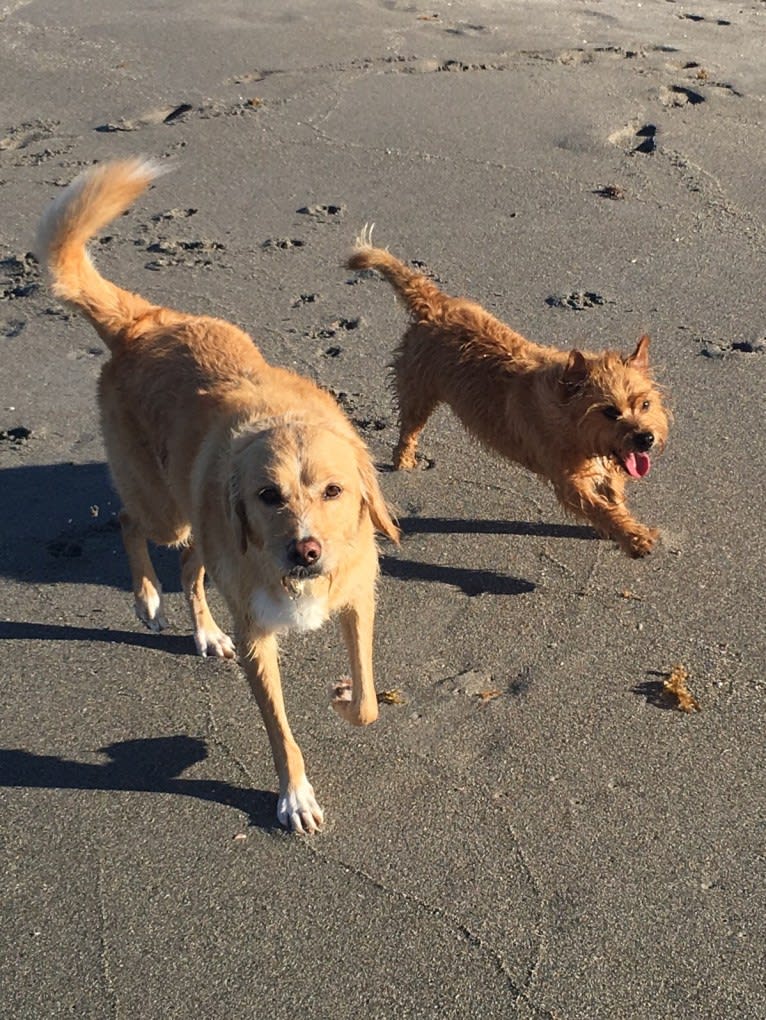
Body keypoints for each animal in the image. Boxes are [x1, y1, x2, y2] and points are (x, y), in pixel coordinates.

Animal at [36, 157, 397, 828]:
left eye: (334, 491)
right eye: (268, 495)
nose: (306, 551)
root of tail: (142, 324)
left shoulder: (358, 596)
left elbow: (366, 701)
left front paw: (343, 696)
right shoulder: (259, 637)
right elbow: (280, 730)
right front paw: (294, 795)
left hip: (198, 520)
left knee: (188, 566)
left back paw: (202, 630)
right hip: (165, 508)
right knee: (130, 522)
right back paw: (147, 599)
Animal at [350, 230, 669, 558]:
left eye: (645, 404)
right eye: (610, 412)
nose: (646, 439)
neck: (566, 414)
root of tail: (434, 303)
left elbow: (613, 497)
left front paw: (624, 526)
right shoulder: (569, 483)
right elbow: (600, 509)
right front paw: (633, 537)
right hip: (417, 392)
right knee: (408, 430)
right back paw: (404, 461)